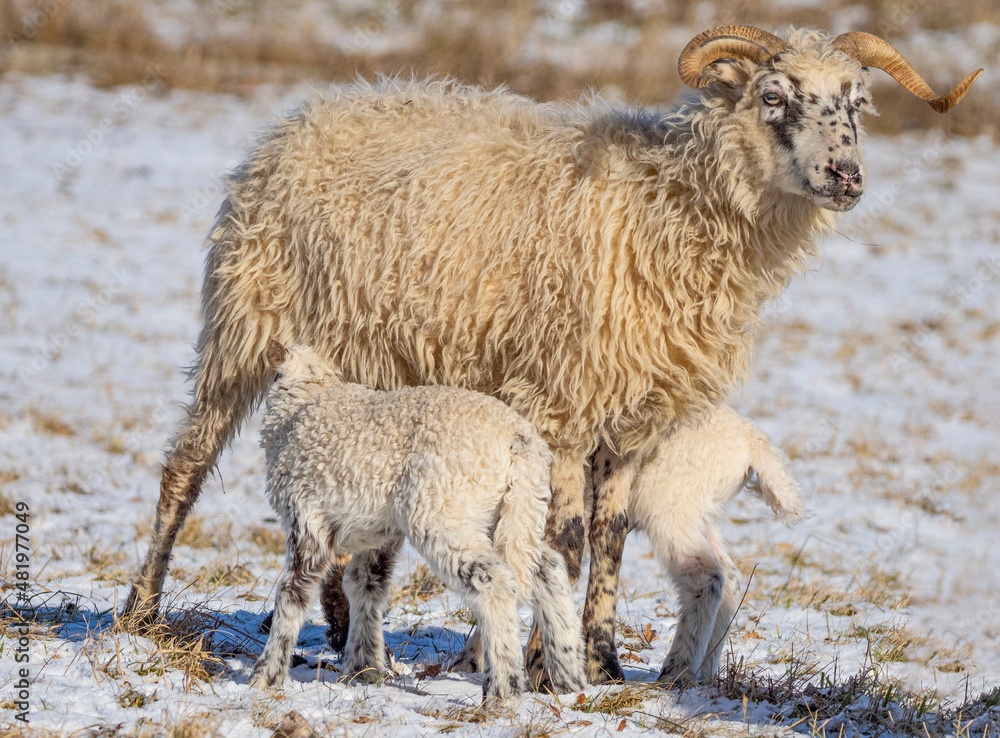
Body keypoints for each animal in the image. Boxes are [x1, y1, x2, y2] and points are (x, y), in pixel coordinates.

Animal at [248, 342, 585, 703]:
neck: (304, 404)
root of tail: (519, 440)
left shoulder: (309, 518)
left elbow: (292, 595)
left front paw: (264, 677)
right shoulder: (380, 532)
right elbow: (364, 585)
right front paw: (364, 670)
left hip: (444, 512)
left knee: (493, 582)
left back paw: (502, 690)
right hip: (517, 510)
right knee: (547, 569)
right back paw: (569, 680)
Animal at [452, 405, 804, 683]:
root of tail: (752, 441)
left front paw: (471, 659)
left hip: (669, 503)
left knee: (706, 578)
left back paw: (675, 673)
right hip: (700, 512)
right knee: (729, 577)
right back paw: (703, 671)